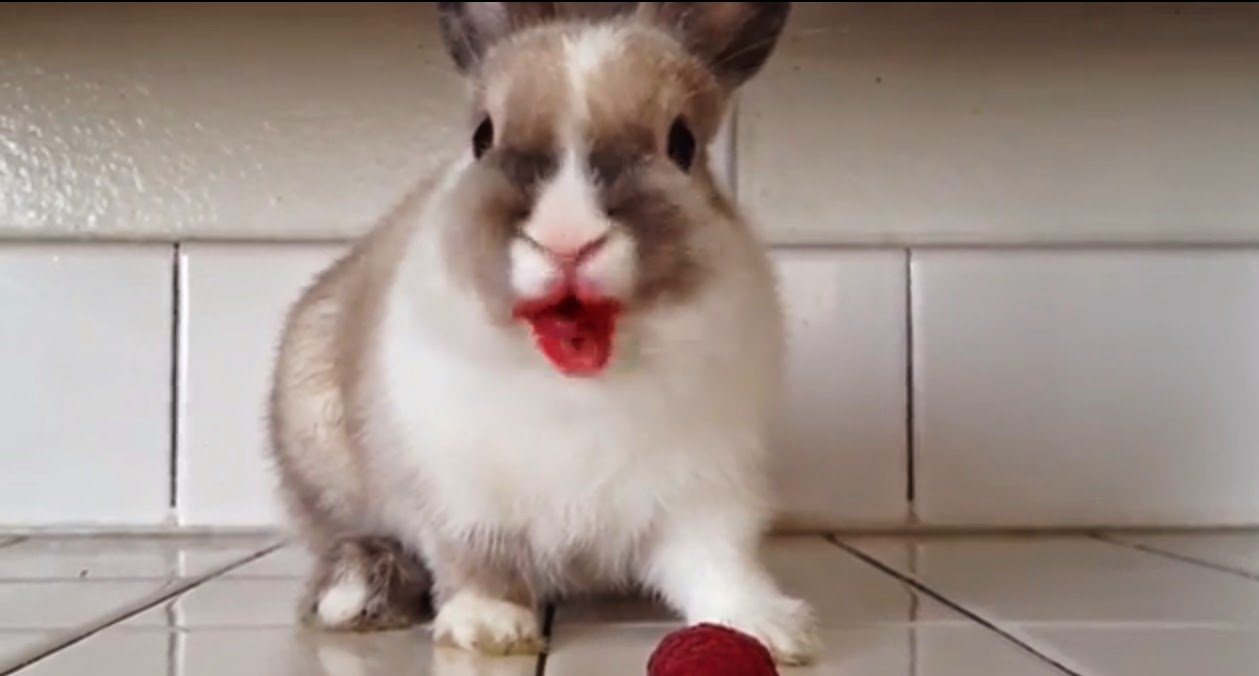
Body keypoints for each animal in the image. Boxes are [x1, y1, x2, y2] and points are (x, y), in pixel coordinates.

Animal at [266, 0, 817, 666]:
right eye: (482, 136)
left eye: (681, 143)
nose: (567, 237)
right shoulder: (459, 493)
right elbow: (476, 559)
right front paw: (489, 626)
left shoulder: (704, 490)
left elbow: (719, 561)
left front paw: (768, 626)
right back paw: (353, 592)